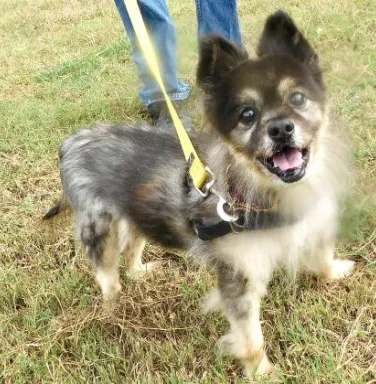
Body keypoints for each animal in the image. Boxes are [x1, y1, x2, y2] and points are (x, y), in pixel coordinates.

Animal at [45, 11, 354, 376]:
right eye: (247, 114)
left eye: (297, 98)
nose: (280, 129)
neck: (270, 190)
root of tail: (69, 144)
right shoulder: (239, 279)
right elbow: (250, 337)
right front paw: (262, 372)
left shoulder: (315, 225)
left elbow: (322, 258)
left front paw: (334, 272)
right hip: (99, 227)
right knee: (107, 274)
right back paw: (113, 308)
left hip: (139, 211)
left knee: (132, 245)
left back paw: (139, 272)